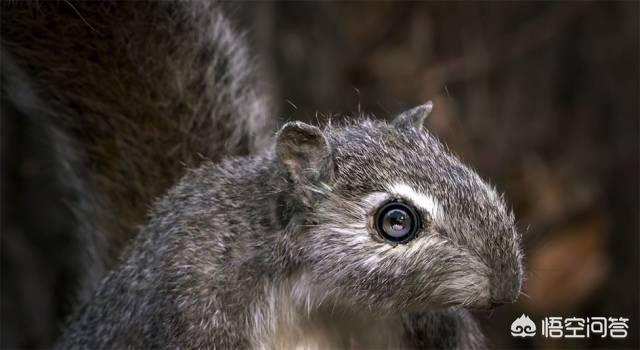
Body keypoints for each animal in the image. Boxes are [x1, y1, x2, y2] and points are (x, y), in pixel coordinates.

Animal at [0, 1, 524, 348]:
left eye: (464, 170)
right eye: (396, 221)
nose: (506, 286)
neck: (327, 300)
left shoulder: (432, 326)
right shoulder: (196, 305)